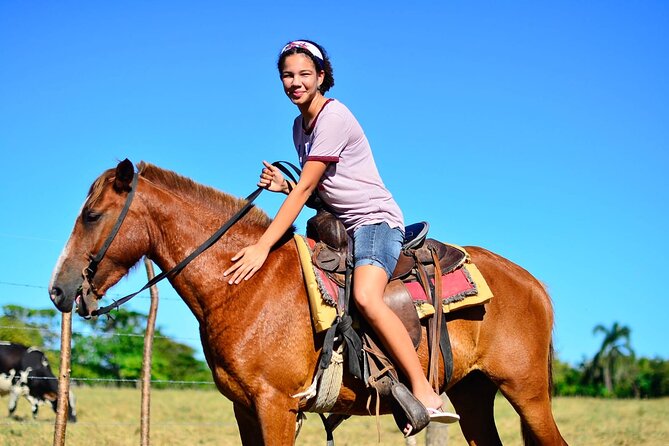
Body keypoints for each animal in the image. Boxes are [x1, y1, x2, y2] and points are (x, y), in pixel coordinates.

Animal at [49, 161, 568, 446]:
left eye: (91, 215)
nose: (59, 290)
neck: (246, 284)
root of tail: (533, 282)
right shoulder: (245, 409)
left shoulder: (276, 405)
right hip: (474, 393)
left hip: (527, 393)